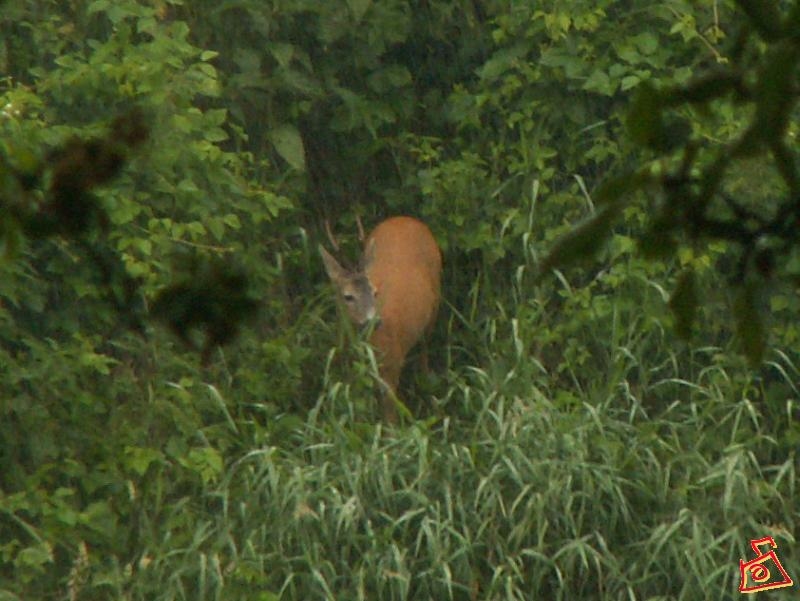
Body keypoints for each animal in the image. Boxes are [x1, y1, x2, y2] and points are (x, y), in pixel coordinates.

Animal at [318, 216, 444, 422]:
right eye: (348, 296)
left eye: (375, 292)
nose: (373, 321)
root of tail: (406, 218)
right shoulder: (350, 368)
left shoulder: (393, 361)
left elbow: (390, 414)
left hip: (435, 301)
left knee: (425, 346)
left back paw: (426, 386)